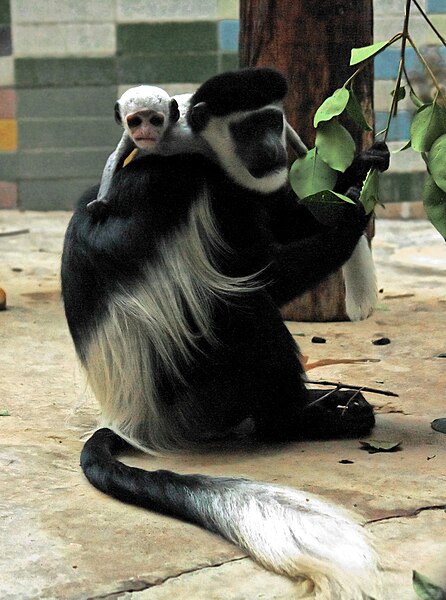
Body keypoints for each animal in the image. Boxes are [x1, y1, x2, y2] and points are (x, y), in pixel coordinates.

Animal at [61, 69, 388, 596]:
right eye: (247, 129)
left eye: (272, 121)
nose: (273, 150)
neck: (199, 150)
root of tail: (135, 417)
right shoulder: (215, 192)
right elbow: (263, 274)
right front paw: (352, 213)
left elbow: (289, 214)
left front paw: (361, 168)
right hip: (200, 389)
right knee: (239, 308)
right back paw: (302, 421)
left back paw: (325, 403)